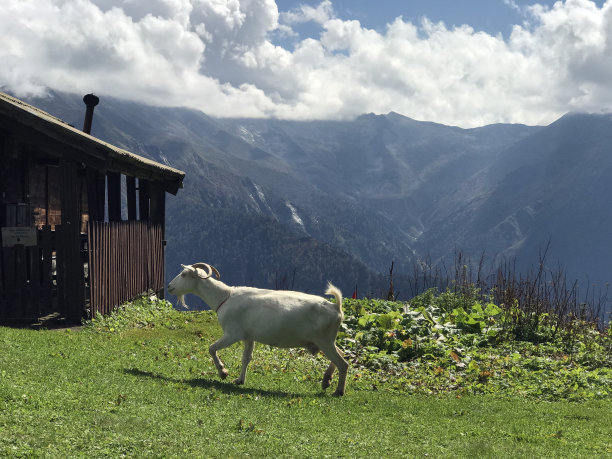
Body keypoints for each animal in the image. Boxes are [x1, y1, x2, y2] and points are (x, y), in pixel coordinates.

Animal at [167, 264, 350, 398]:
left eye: (184, 274)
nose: (169, 286)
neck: (225, 297)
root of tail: (336, 308)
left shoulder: (232, 334)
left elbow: (211, 348)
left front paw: (223, 372)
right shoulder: (249, 337)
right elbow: (246, 358)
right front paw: (239, 380)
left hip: (324, 341)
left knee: (343, 363)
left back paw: (338, 391)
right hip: (326, 341)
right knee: (341, 354)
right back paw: (326, 380)